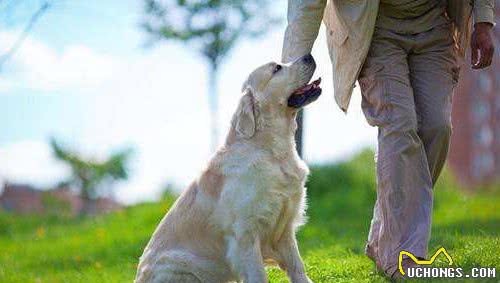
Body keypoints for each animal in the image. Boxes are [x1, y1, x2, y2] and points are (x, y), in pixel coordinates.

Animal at [134, 53, 320, 283]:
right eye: (277, 68)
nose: (309, 56)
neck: (271, 152)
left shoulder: (284, 226)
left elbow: (297, 266)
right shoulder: (244, 233)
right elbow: (258, 274)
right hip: (182, 264)